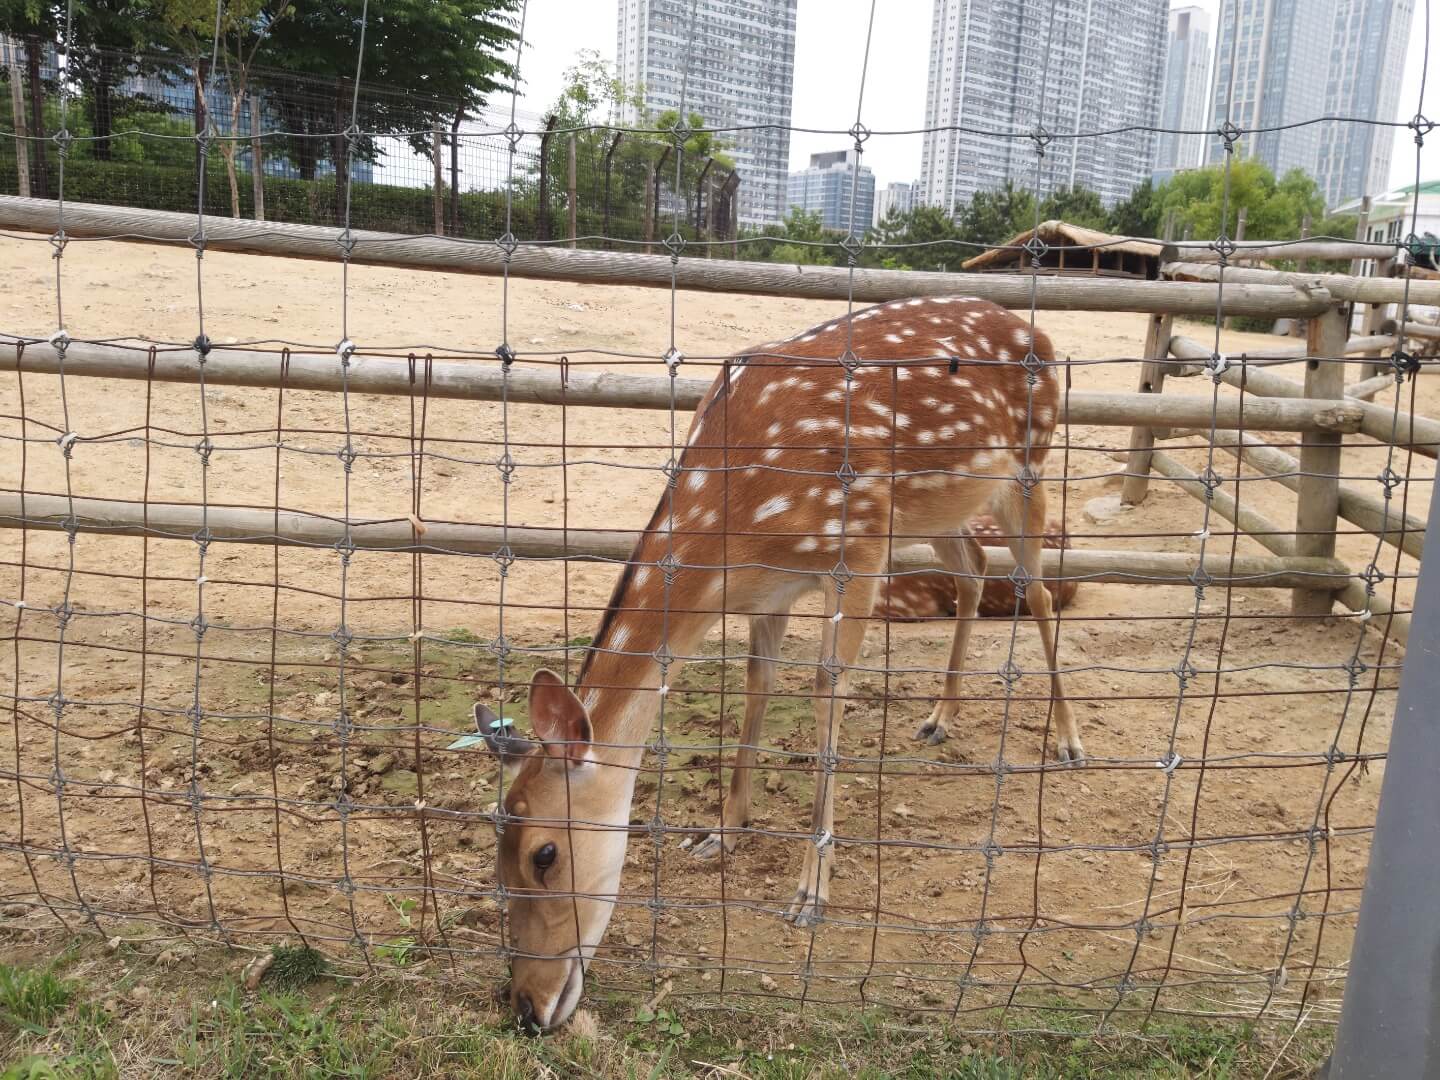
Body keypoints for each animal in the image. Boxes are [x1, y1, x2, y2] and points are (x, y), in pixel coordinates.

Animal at [486, 296, 1081, 1031]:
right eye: (494, 854)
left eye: (545, 853)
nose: (527, 1007)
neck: (740, 519)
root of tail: (1039, 333)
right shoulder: (769, 589)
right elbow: (757, 684)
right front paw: (720, 831)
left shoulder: (858, 547)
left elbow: (828, 687)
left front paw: (810, 892)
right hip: (940, 506)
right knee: (972, 569)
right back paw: (938, 718)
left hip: (1029, 465)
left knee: (1038, 591)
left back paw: (1068, 739)